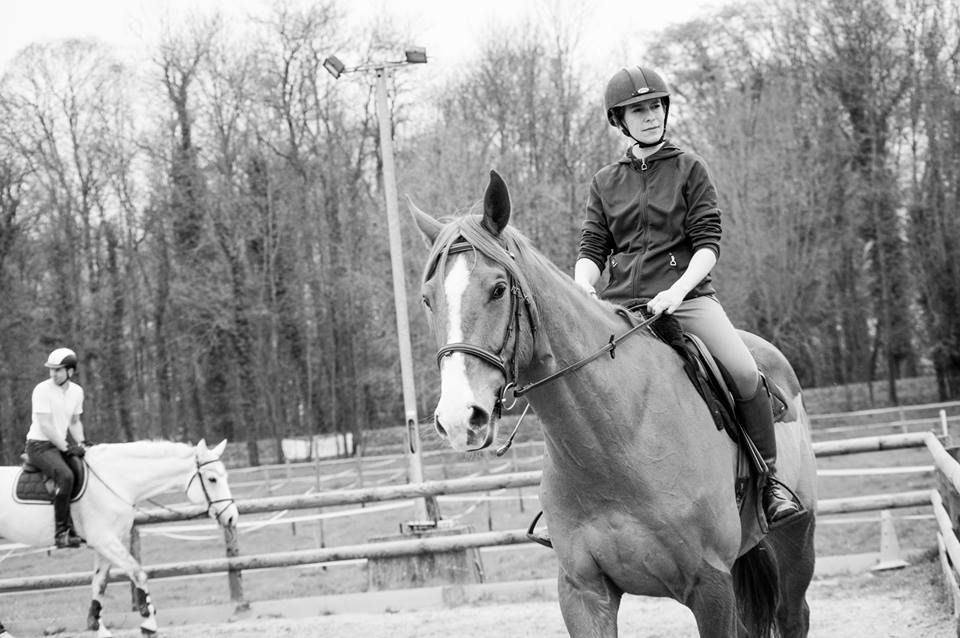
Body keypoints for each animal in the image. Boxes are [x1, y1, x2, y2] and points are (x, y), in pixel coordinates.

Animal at [0, 439, 239, 638]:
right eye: (212, 479)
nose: (231, 517)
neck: (116, 480)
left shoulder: (106, 544)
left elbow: (99, 584)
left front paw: (97, 627)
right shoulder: (105, 541)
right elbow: (137, 573)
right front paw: (148, 623)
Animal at [410, 170, 818, 637]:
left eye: (497, 290)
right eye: (427, 299)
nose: (459, 419)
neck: (617, 438)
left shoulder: (711, 586)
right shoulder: (584, 593)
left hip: (796, 543)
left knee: (794, 615)